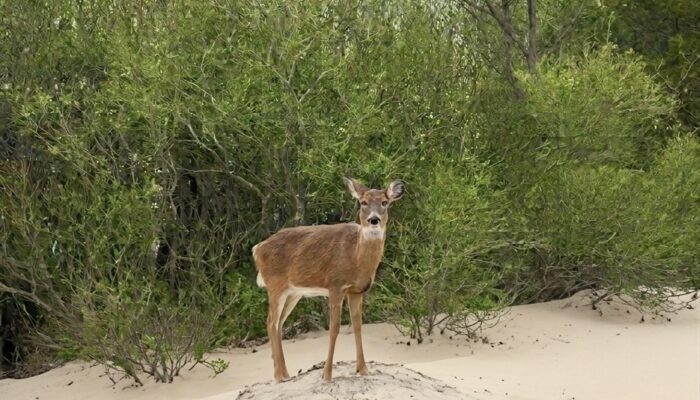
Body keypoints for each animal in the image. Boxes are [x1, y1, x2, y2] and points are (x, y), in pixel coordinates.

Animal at [252, 177, 405, 382]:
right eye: (363, 202)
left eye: (384, 202)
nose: (374, 220)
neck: (356, 257)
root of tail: (257, 249)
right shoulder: (335, 285)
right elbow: (334, 329)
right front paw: (326, 374)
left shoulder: (357, 291)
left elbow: (357, 326)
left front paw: (363, 369)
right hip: (275, 285)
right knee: (271, 322)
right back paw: (278, 376)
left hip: (293, 292)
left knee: (278, 324)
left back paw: (285, 373)